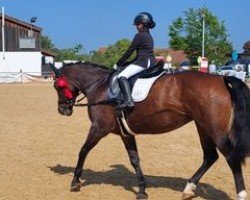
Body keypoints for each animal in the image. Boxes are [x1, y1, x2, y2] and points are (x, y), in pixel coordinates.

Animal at [50, 61, 250, 199]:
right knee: (210, 156)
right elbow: (134, 160)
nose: (63, 110)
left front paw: (75, 182)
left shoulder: (99, 128)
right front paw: (142, 190)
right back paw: (188, 189)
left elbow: (83, 151)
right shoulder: (125, 133)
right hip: (203, 127)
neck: (99, 87)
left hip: (215, 130)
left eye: (56, 86)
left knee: (231, 158)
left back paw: (240, 194)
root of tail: (220, 78)